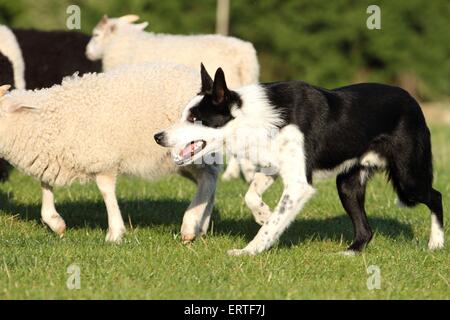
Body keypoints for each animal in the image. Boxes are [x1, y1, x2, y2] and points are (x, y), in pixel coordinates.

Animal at [0, 62, 218, 242]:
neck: (47, 119)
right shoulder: (51, 156)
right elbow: (45, 184)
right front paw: (55, 223)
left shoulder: (102, 159)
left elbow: (106, 191)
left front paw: (115, 233)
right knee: (208, 182)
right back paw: (201, 226)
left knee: (208, 179)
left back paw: (190, 226)